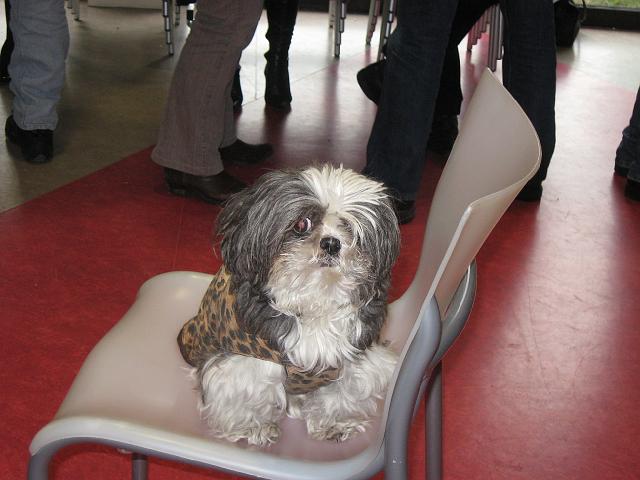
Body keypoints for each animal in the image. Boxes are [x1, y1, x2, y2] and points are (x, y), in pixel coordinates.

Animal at [177, 165, 400, 446]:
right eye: (301, 224)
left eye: (349, 227)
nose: (331, 242)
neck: (314, 304)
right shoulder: (241, 365)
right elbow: (245, 398)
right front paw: (253, 427)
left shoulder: (357, 360)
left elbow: (339, 396)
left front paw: (334, 423)